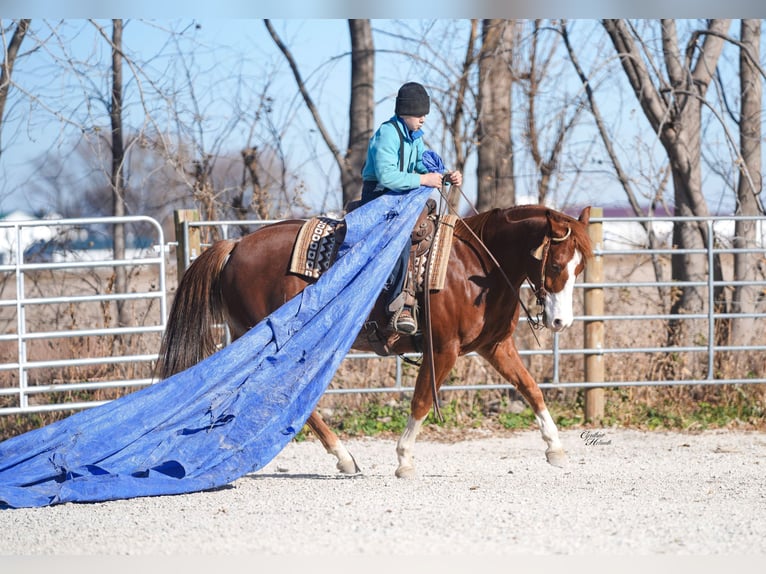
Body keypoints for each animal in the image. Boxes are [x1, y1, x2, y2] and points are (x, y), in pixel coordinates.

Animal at [157, 203, 593, 478]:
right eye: (556, 264)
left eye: (580, 267)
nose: (560, 321)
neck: (478, 265)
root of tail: (235, 247)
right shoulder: (443, 350)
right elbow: (421, 401)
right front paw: (404, 460)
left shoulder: (494, 346)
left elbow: (531, 388)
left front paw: (555, 448)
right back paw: (341, 456)